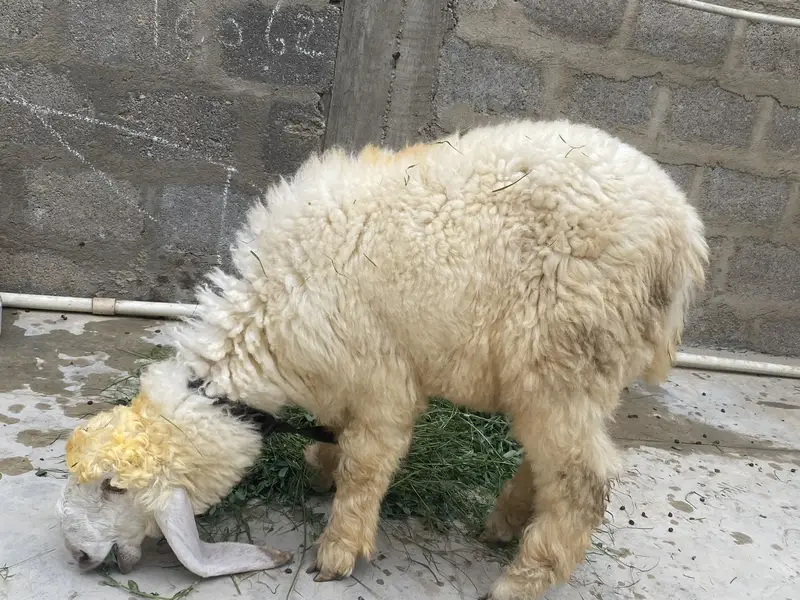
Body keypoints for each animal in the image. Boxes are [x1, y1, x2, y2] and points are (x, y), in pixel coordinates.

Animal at [57, 118, 708, 600]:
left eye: (113, 488)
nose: (76, 553)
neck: (268, 311)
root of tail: (684, 237)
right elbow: (339, 438)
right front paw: (320, 466)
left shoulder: (380, 377)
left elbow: (367, 464)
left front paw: (339, 550)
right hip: (571, 371)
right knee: (554, 458)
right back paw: (504, 524)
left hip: (566, 349)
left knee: (583, 478)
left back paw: (522, 579)